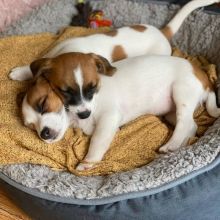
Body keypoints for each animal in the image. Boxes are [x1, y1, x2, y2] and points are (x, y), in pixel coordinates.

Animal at [18, 52, 220, 171]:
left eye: (42, 104)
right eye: (30, 126)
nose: (43, 134)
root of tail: (204, 76)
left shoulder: (108, 118)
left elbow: (97, 141)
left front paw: (88, 161)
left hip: (181, 93)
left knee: (184, 123)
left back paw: (171, 144)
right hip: (171, 112)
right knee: (191, 125)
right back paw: (182, 144)